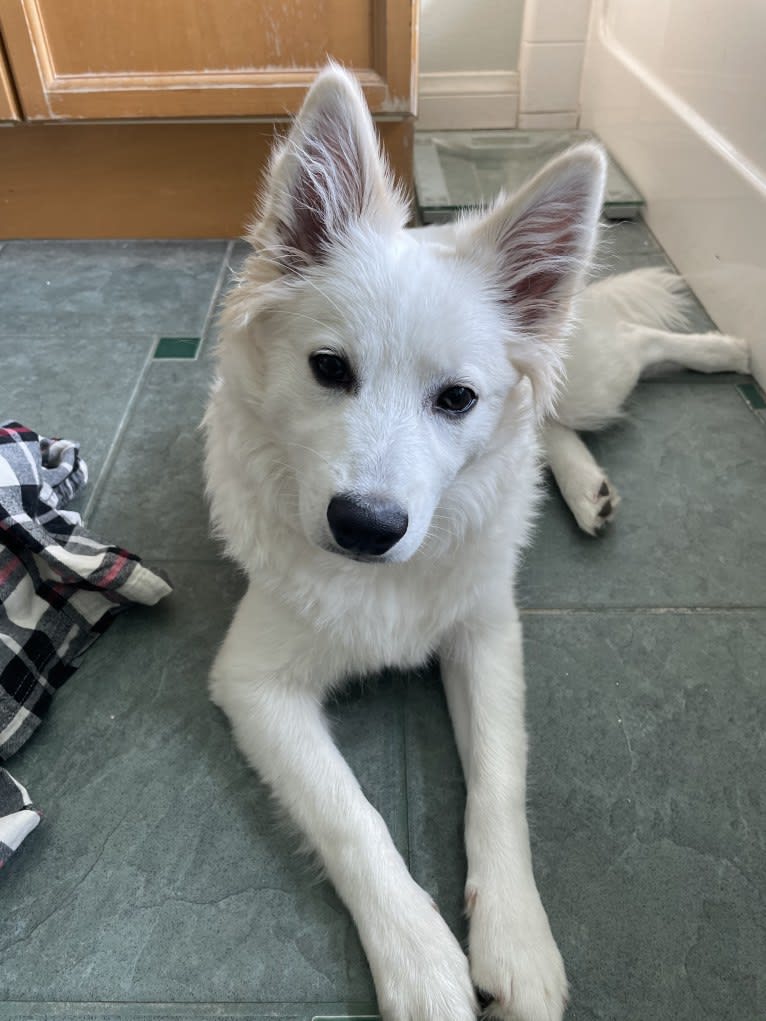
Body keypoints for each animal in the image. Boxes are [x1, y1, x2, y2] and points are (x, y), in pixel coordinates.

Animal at [202, 65, 751, 1021]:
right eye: (328, 369)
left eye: (455, 398)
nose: (365, 526)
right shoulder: (255, 682)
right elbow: (351, 813)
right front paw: (421, 960)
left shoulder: (488, 634)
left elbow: (500, 781)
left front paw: (518, 941)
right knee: (552, 423)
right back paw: (585, 486)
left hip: (596, 372)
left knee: (631, 352)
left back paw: (734, 347)